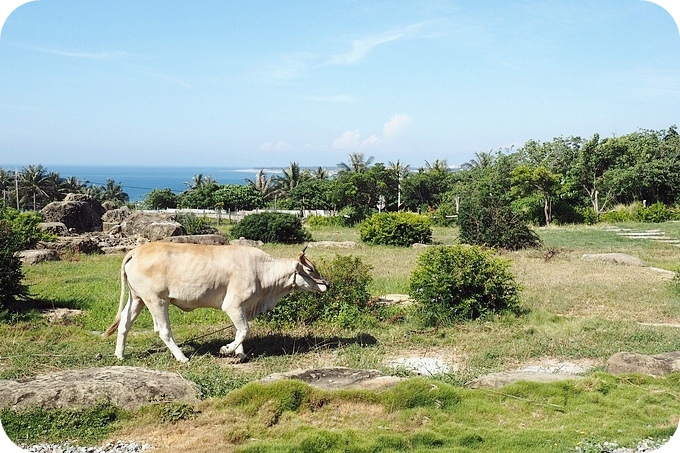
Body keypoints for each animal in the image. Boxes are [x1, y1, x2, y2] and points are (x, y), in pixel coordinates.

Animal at [100, 242, 330, 362]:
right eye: (310, 269)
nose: (326, 284)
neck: (262, 272)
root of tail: (136, 251)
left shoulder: (242, 308)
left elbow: (240, 330)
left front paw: (240, 353)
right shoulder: (233, 305)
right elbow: (244, 330)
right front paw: (227, 350)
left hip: (137, 298)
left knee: (124, 324)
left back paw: (119, 355)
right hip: (156, 300)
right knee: (163, 330)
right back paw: (182, 357)